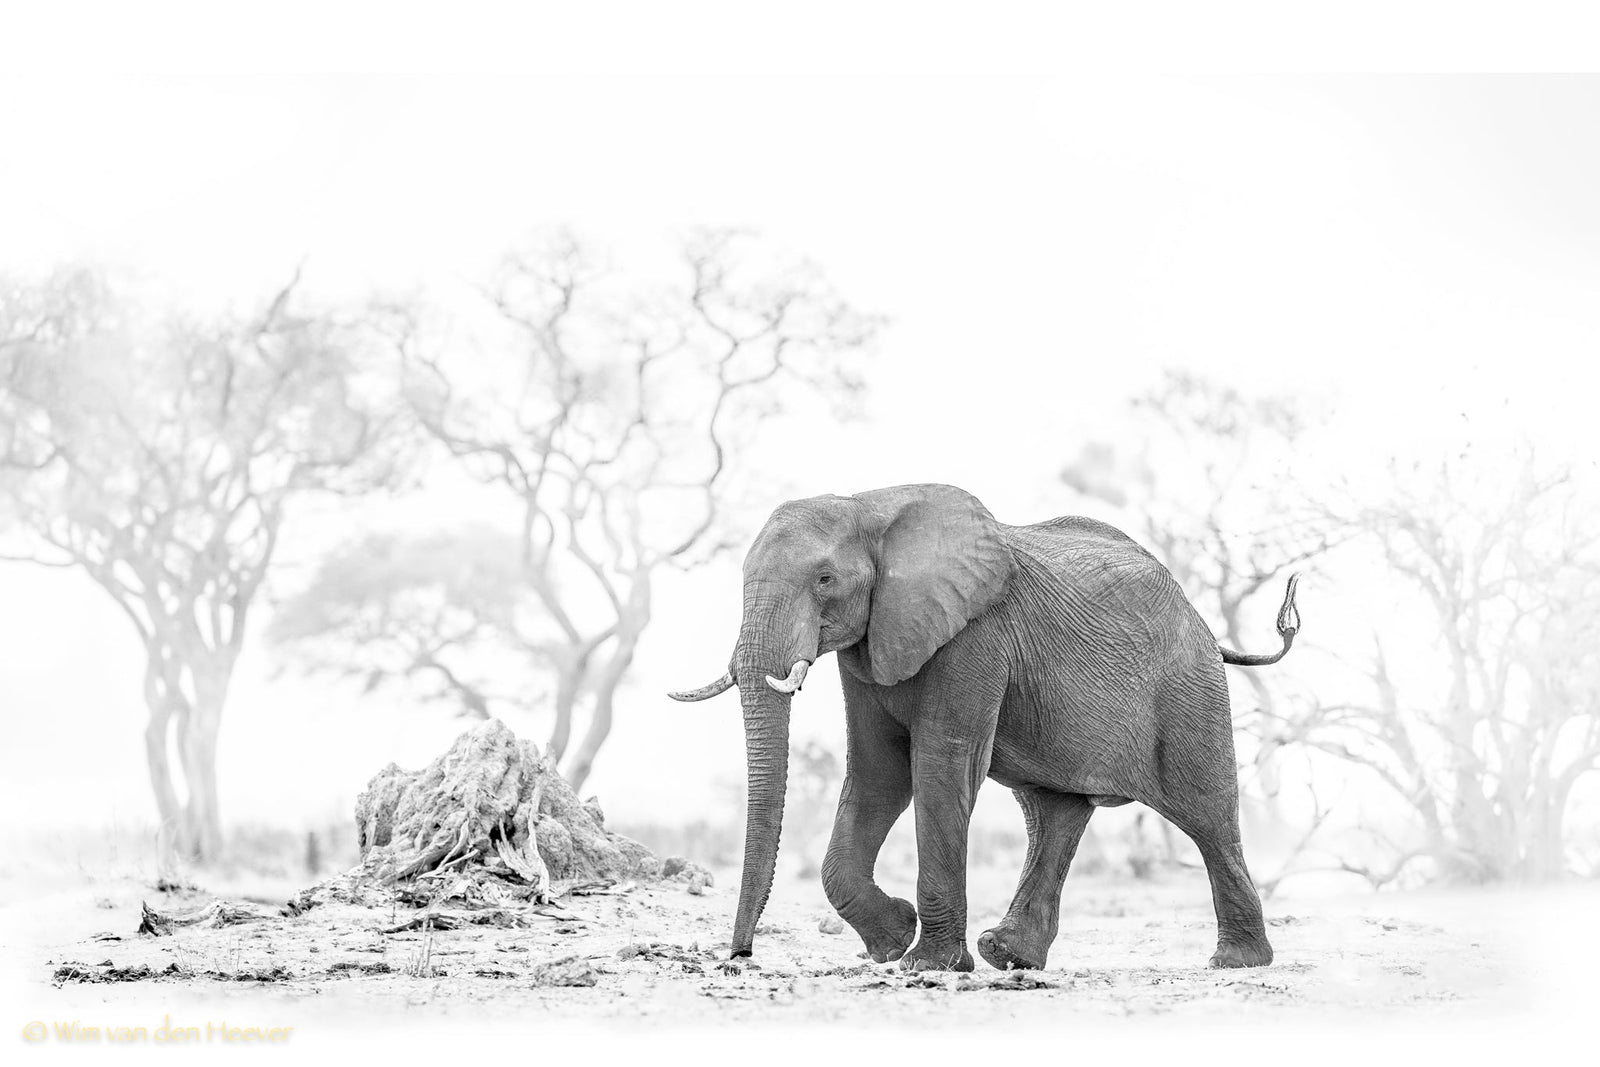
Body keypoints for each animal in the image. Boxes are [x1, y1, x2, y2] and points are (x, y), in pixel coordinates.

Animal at [670, 483, 1301, 973]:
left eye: (824, 579)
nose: (740, 958)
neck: (870, 508)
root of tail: (1202, 620)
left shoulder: (976, 634)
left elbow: (939, 768)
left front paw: (927, 963)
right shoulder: (869, 645)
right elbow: (878, 773)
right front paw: (894, 940)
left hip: (1189, 689)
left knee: (1208, 817)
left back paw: (1235, 962)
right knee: (1052, 814)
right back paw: (1008, 955)